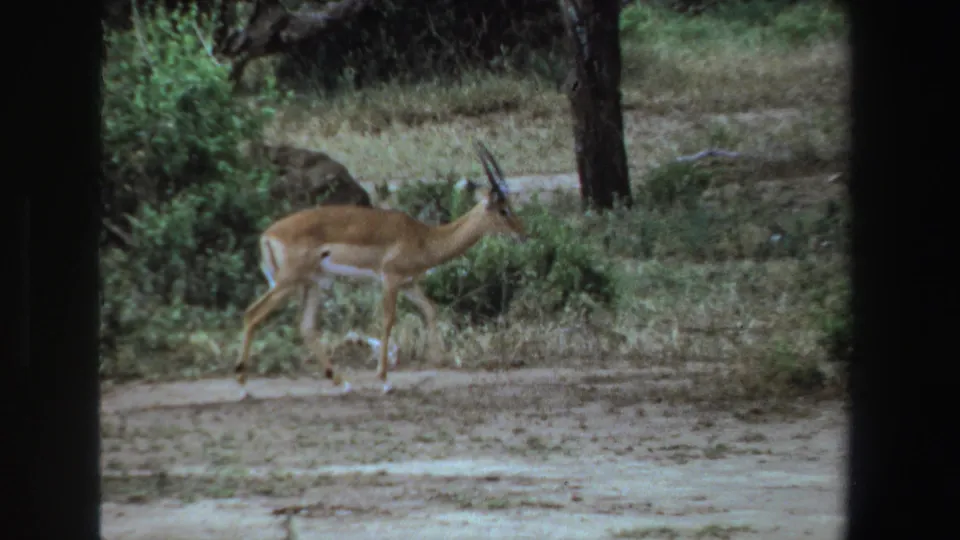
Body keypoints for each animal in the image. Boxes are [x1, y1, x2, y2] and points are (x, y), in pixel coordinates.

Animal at [234, 141, 528, 394]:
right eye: (503, 210)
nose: (522, 233)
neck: (423, 237)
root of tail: (267, 235)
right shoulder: (390, 279)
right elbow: (388, 322)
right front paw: (385, 380)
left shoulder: (409, 283)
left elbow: (430, 310)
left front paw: (440, 360)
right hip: (288, 284)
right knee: (252, 314)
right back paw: (243, 386)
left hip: (312, 284)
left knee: (305, 328)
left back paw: (343, 382)